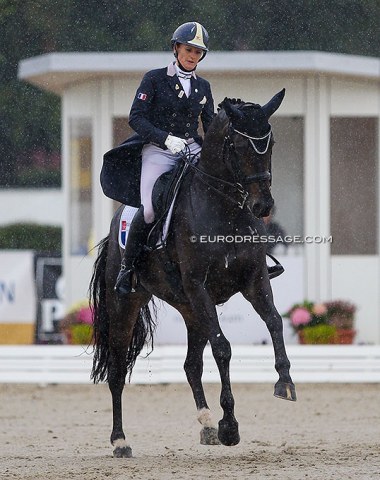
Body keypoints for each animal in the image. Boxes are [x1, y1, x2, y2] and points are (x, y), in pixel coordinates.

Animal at [90, 88, 296, 460]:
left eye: (270, 144)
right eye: (238, 146)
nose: (263, 207)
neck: (225, 209)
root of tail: (116, 226)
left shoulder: (254, 280)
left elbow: (274, 322)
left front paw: (284, 383)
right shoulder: (200, 287)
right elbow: (223, 349)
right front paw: (230, 427)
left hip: (190, 309)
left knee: (191, 365)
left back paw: (206, 424)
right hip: (126, 304)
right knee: (117, 371)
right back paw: (120, 441)